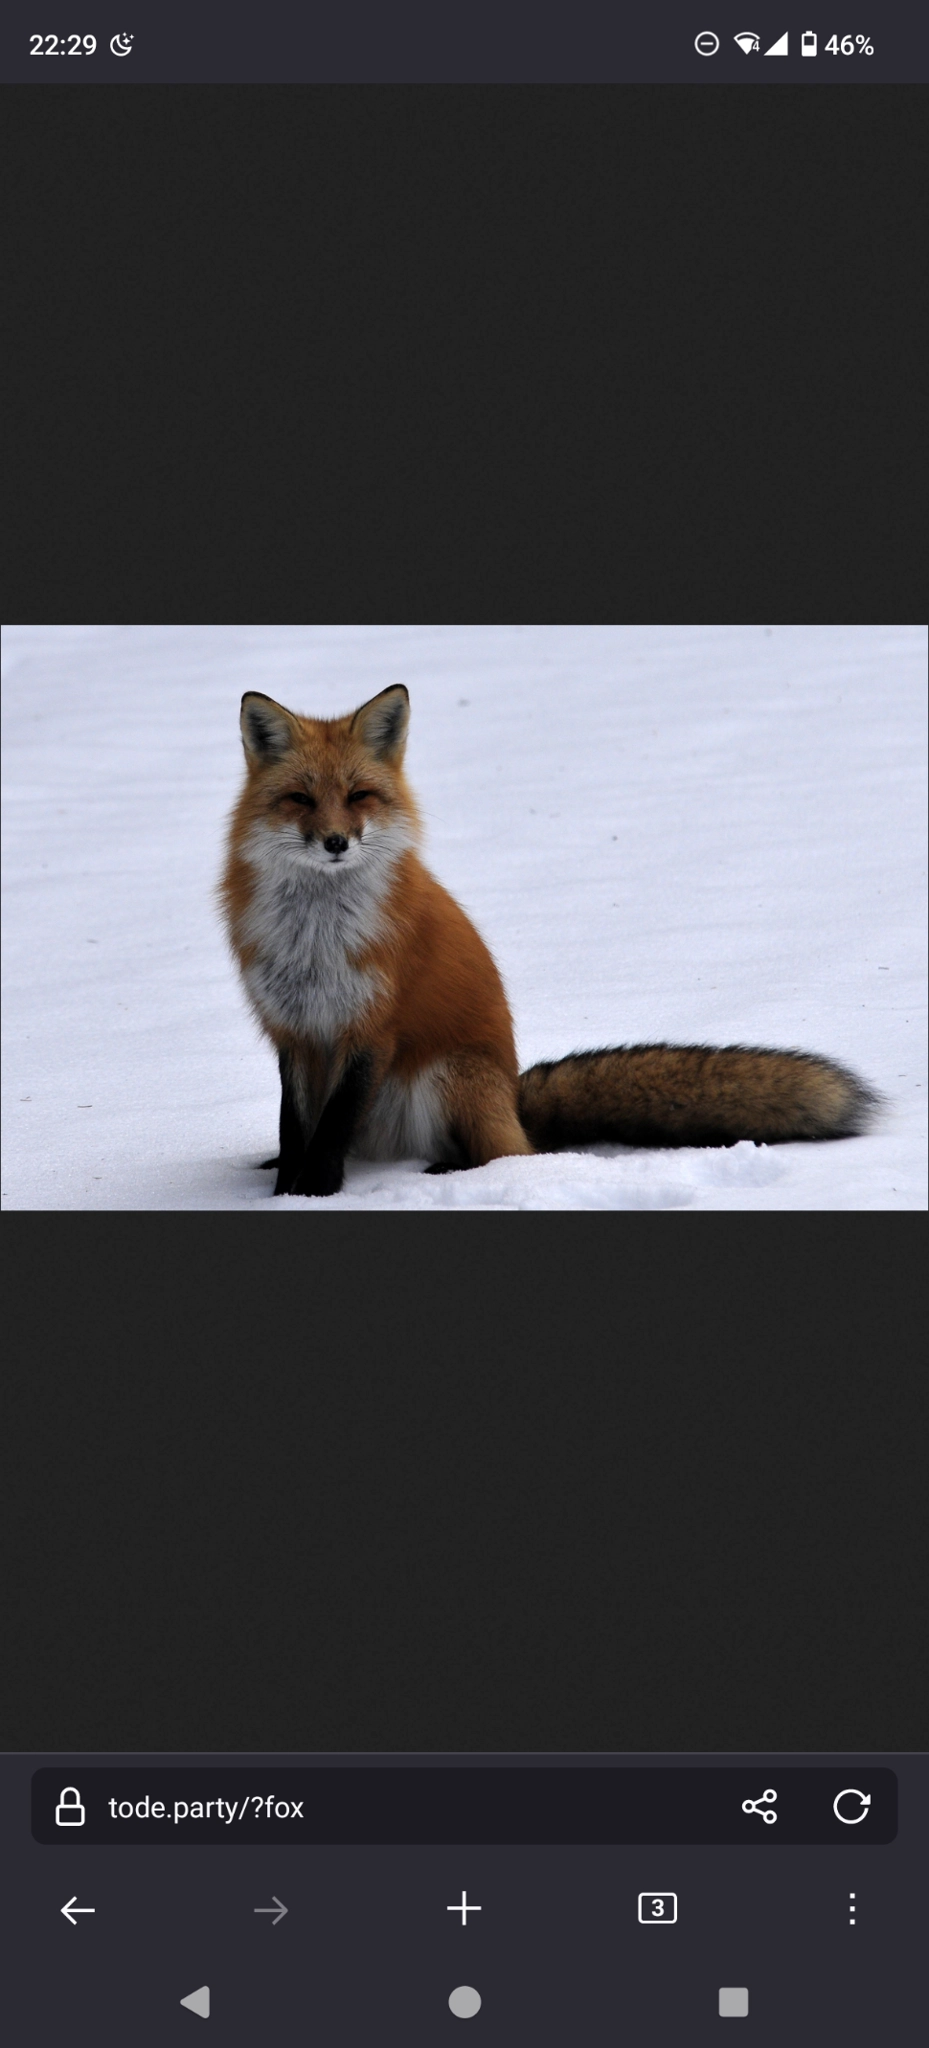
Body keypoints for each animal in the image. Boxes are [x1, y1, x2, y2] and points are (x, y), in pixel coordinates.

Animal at [220, 684, 878, 1198]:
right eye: (301, 799)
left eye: (359, 796)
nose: (336, 842)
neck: (317, 939)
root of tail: (514, 1098)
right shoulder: (294, 1030)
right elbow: (294, 1123)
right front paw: (284, 1188)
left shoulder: (371, 1029)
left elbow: (333, 1126)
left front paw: (314, 1192)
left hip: (448, 1077)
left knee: (506, 1155)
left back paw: (451, 1171)